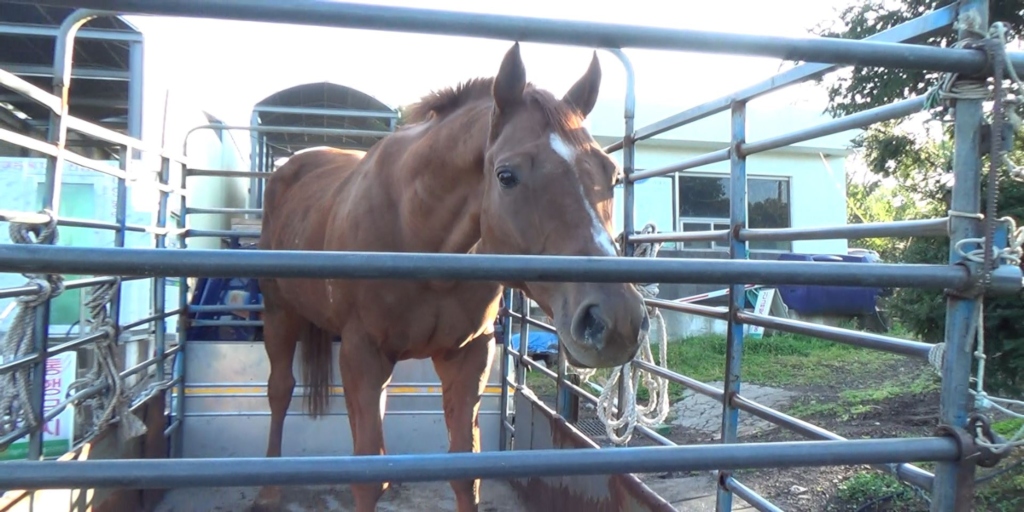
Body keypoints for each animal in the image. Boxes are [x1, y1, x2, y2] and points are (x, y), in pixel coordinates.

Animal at [253, 42, 650, 512]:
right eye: (506, 176)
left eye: (612, 174)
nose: (616, 321)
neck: (416, 232)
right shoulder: (362, 356)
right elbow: (368, 478)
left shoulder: (468, 355)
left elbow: (465, 470)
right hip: (279, 313)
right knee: (279, 390)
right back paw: (269, 488)